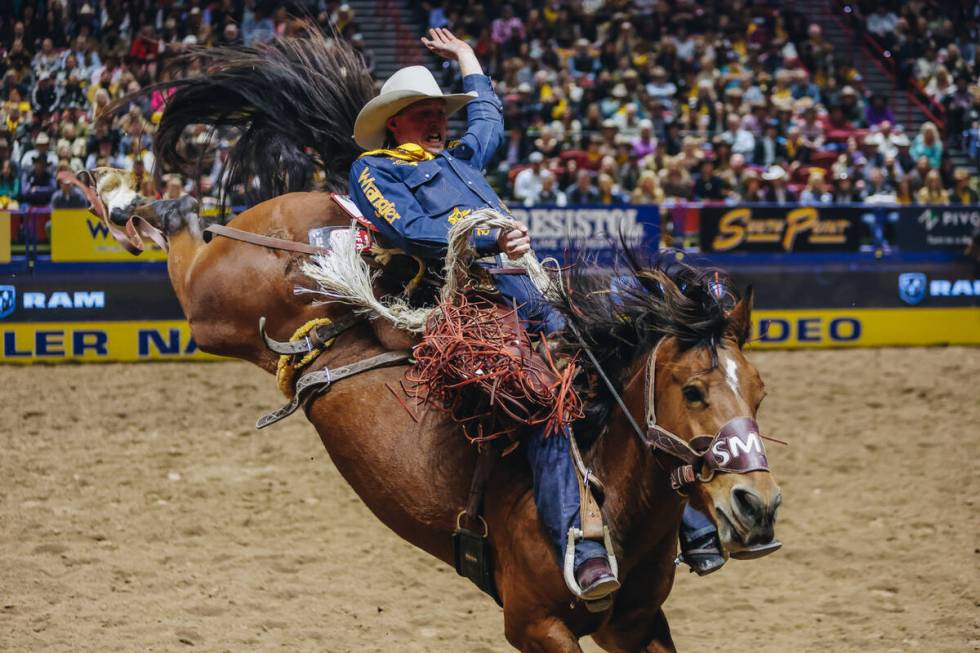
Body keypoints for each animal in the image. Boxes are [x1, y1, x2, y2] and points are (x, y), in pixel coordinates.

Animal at [101, 33, 780, 648]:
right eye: (692, 391)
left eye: (760, 393)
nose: (759, 505)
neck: (611, 489)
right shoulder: (534, 626)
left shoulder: (636, 625)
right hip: (216, 309)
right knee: (184, 246)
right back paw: (122, 198)